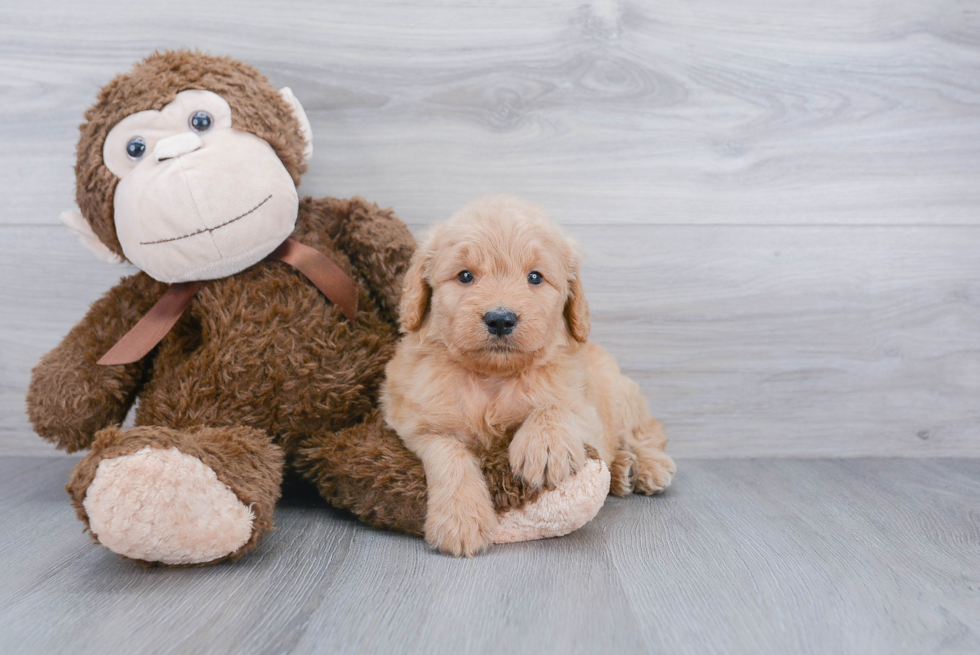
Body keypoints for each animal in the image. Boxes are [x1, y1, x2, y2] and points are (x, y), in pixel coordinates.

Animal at [382, 197, 672, 556]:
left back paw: (646, 466)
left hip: (621, 396)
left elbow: (554, 406)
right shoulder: (417, 422)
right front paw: (461, 519)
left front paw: (544, 444)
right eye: (465, 276)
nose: (500, 319)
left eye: (535, 277)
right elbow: (449, 454)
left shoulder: (585, 410)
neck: (492, 378)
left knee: (646, 434)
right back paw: (622, 471)